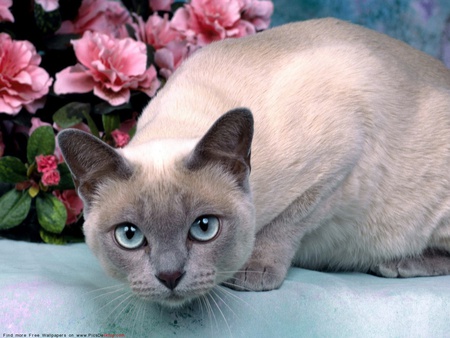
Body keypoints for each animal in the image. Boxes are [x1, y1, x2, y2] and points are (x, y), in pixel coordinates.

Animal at [57, 17, 450, 308]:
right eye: (130, 236)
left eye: (204, 228)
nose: (169, 277)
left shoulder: (339, 163)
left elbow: (285, 223)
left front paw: (251, 274)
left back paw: (396, 265)